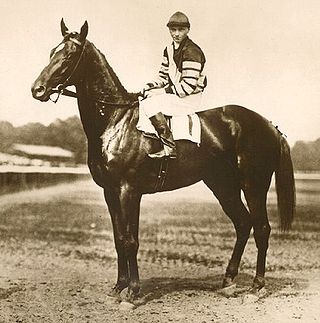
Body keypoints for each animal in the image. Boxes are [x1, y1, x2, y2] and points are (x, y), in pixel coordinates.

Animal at [31, 19, 296, 304]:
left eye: (69, 55)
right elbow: (118, 238)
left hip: (253, 184)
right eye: (52, 52)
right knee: (243, 223)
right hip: (222, 185)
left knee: (262, 228)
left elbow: (130, 240)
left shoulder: (129, 191)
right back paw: (228, 280)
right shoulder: (110, 192)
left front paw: (132, 292)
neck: (115, 120)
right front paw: (118, 288)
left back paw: (256, 287)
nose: (37, 89)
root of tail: (270, 125)